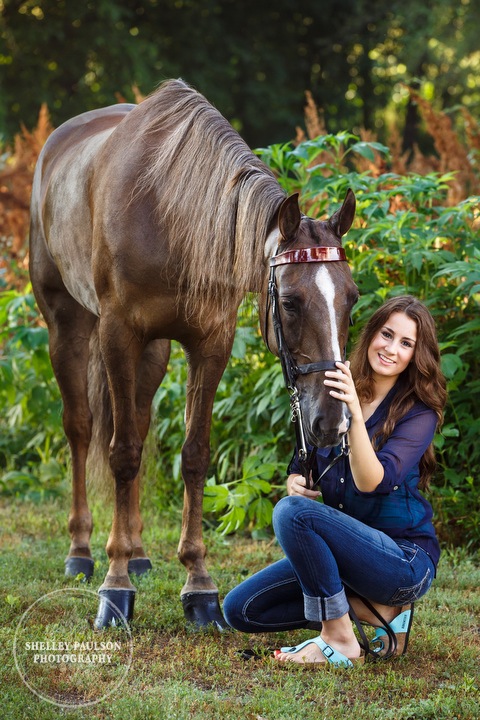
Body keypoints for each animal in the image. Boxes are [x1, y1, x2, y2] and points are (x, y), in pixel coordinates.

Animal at [27, 80, 356, 632]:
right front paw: (115, 588)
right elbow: (121, 454)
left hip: (154, 352)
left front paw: (198, 585)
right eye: (290, 302)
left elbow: (194, 455)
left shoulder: (210, 342)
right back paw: (82, 551)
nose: (331, 422)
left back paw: (138, 551)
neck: (169, 213)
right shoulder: (117, 334)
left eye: (351, 298)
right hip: (66, 325)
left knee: (137, 424)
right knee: (81, 428)